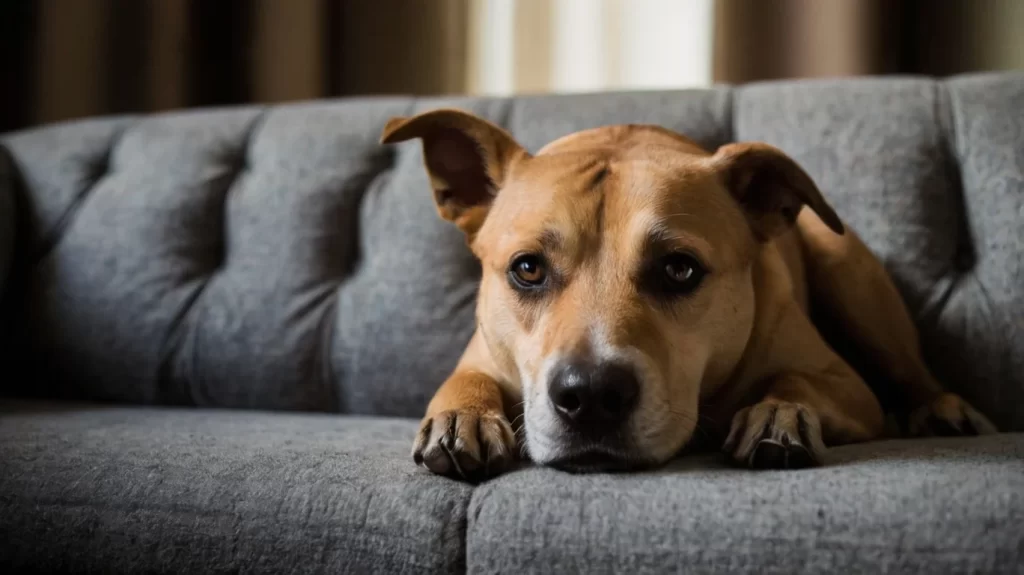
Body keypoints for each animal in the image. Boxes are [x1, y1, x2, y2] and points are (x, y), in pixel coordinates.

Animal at [380, 108, 995, 478]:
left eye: (679, 270)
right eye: (527, 269)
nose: (591, 395)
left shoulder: (847, 384)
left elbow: (795, 378)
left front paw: (780, 412)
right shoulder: (482, 355)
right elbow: (466, 379)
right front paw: (462, 415)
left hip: (851, 277)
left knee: (913, 372)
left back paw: (944, 410)